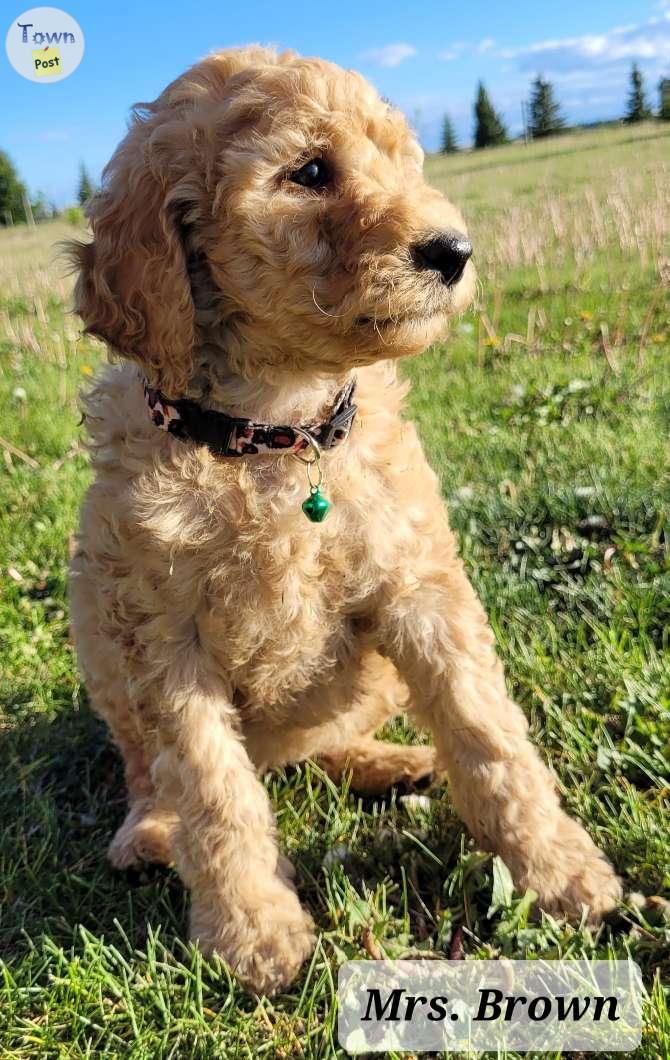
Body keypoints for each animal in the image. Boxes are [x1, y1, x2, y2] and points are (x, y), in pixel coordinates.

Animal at [65, 47, 619, 992]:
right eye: (310, 172)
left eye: (401, 160)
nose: (454, 250)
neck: (278, 436)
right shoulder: (164, 636)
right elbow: (212, 785)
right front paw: (252, 933)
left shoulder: (420, 587)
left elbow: (489, 736)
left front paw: (563, 873)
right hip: (96, 631)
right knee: (158, 770)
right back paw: (149, 833)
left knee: (320, 747)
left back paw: (395, 764)